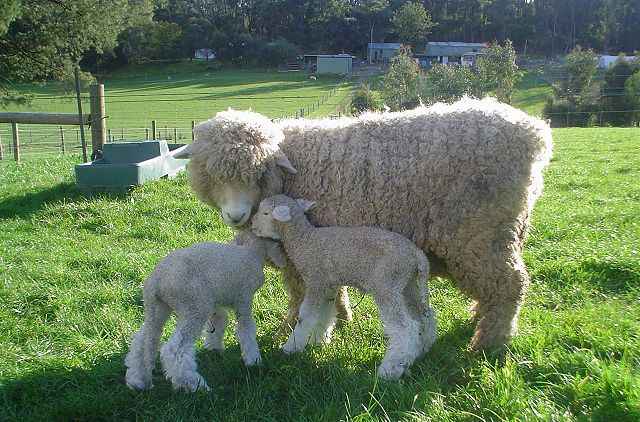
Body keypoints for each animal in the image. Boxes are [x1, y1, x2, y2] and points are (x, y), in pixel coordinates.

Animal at [124, 230, 286, 392]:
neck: (251, 251)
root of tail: (155, 281)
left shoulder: (215, 300)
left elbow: (219, 321)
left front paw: (213, 347)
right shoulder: (244, 298)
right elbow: (246, 330)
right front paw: (253, 360)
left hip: (160, 308)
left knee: (143, 341)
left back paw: (137, 381)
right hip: (194, 306)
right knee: (175, 349)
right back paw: (194, 385)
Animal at [174, 97, 553, 351]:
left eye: (257, 172)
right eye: (210, 173)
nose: (236, 216)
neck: (291, 169)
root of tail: (535, 133)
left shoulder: (300, 253)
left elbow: (299, 293)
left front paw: (291, 328)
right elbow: (332, 289)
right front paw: (341, 317)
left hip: (480, 234)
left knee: (509, 286)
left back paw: (490, 343)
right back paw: (479, 320)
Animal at [251, 194, 436, 380]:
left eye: (265, 213)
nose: (252, 224)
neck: (304, 241)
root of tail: (417, 255)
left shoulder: (316, 280)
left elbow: (306, 315)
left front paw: (291, 347)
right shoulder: (328, 286)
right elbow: (325, 314)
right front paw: (318, 342)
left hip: (386, 284)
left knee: (406, 327)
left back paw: (390, 369)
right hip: (407, 284)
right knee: (424, 317)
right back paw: (419, 351)